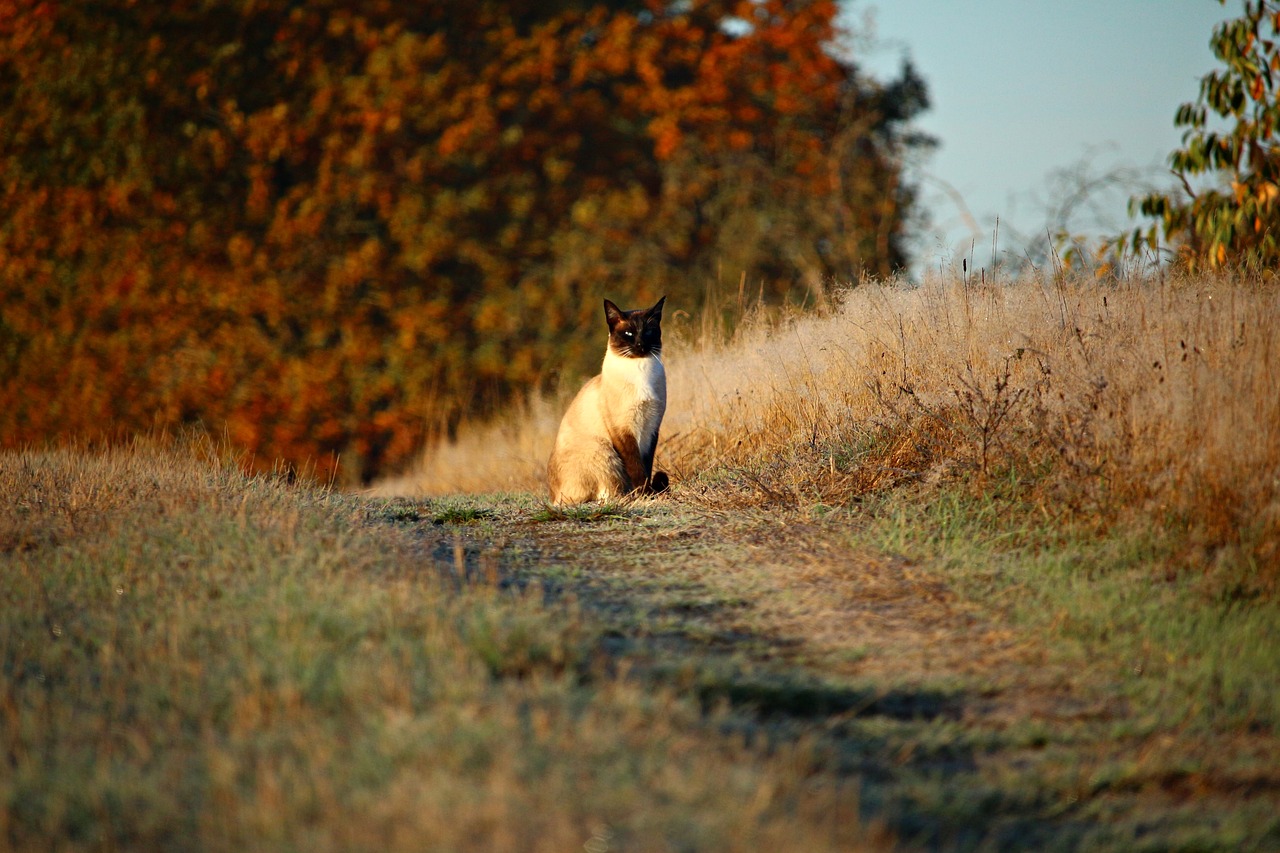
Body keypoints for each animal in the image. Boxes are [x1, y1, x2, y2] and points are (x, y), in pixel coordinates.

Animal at [547, 295, 670, 502]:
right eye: (629, 333)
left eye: (648, 332)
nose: (640, 345)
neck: (640, 370)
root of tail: (554, 496)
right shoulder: (623, 430)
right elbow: (636, 468)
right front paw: (645, 494)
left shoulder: (652, 427)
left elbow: (646, 465)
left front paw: (648, 494)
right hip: (603, 450)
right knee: (606, 492)